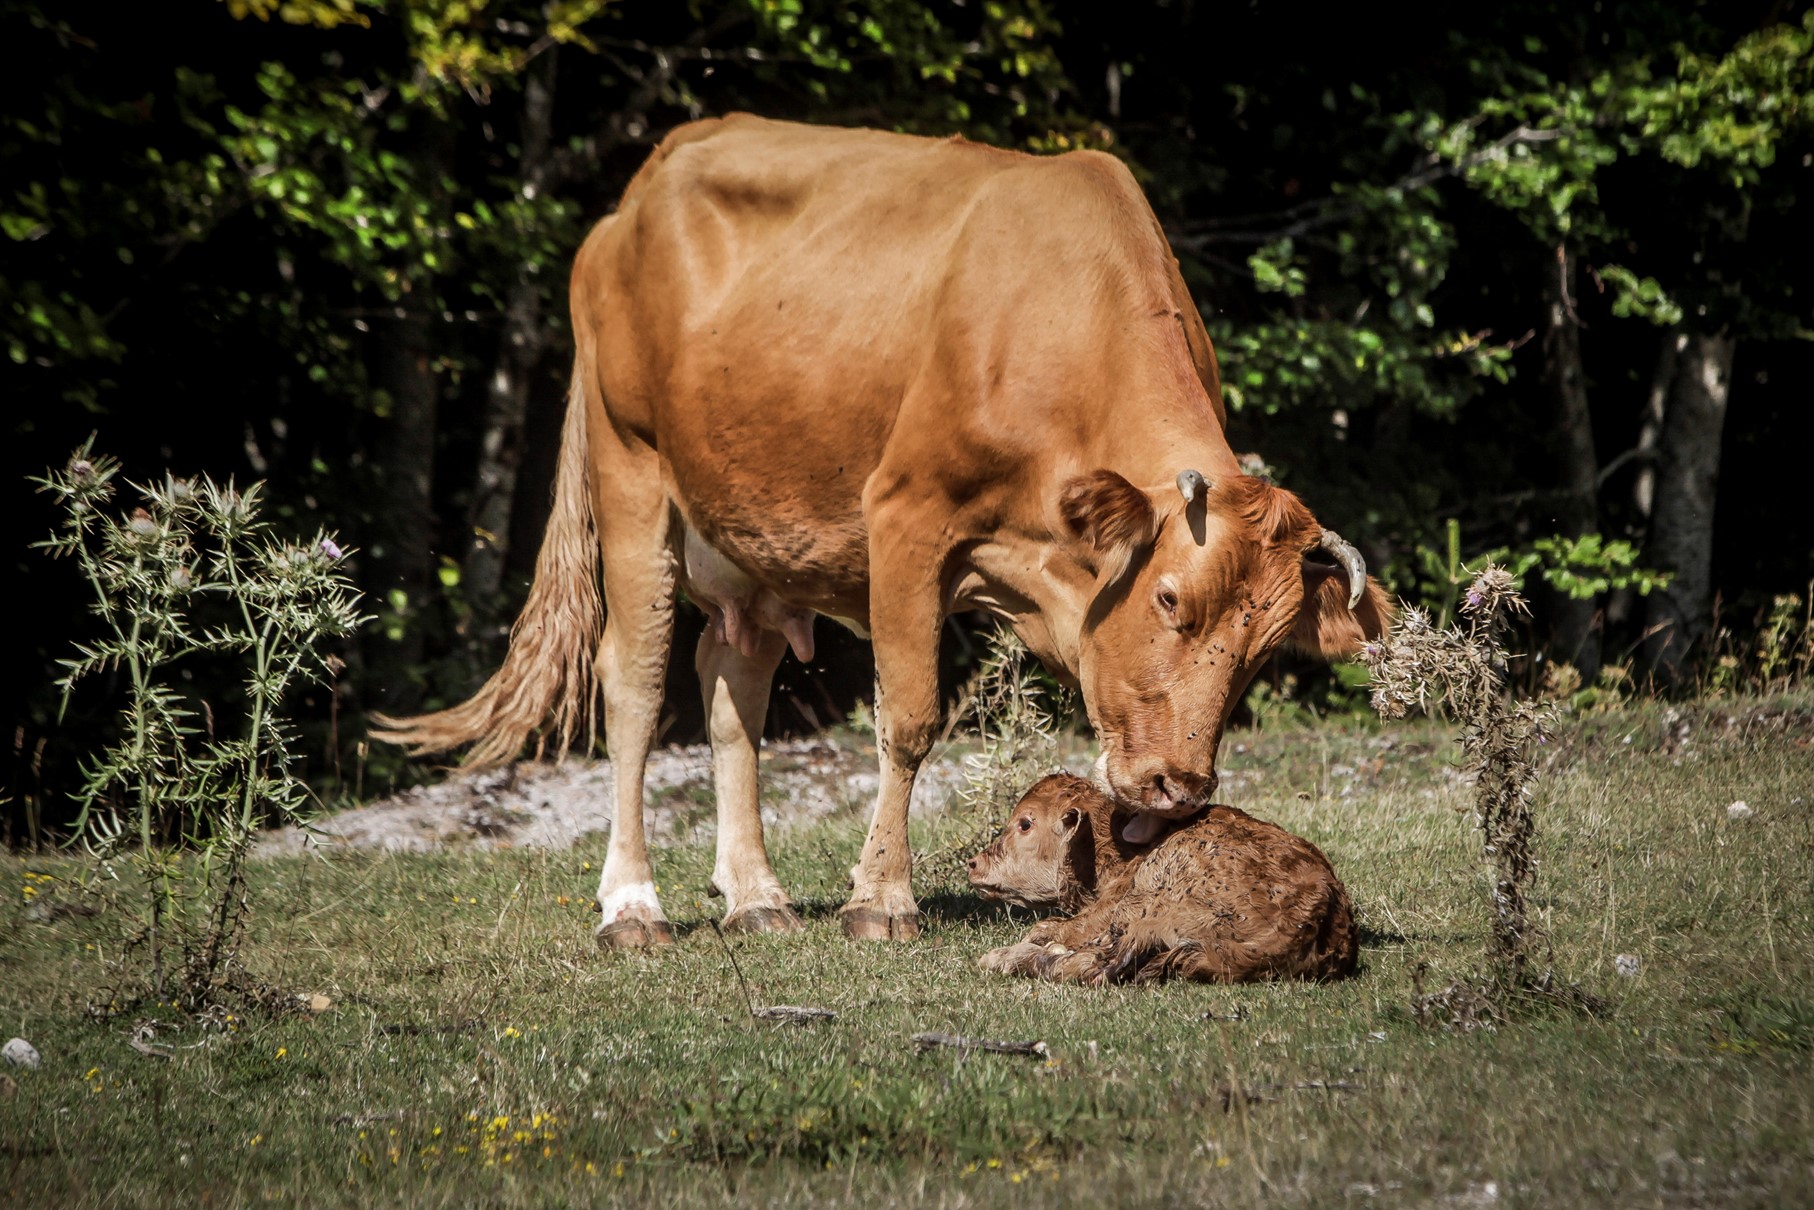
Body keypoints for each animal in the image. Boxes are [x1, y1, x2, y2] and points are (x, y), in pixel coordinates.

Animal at [368, 113, 1385, 943]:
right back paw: (633, 905)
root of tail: (642, 188)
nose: (1181, 787)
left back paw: (755, 897)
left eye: (1266, 646)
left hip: (755, 530)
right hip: (631, 470)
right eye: (1171, 598)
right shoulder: (904, 514)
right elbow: (909, 718)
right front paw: (881, 898)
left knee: (731, 689)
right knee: (636, 678)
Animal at [972, 776, 1356, 986]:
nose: (974, 863)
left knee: (1095, 964)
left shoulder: (1110, 911)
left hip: (1152, 912)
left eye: (1025, 823)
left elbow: (1050, 929)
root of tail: (1323, 908)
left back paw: (1005, 958)